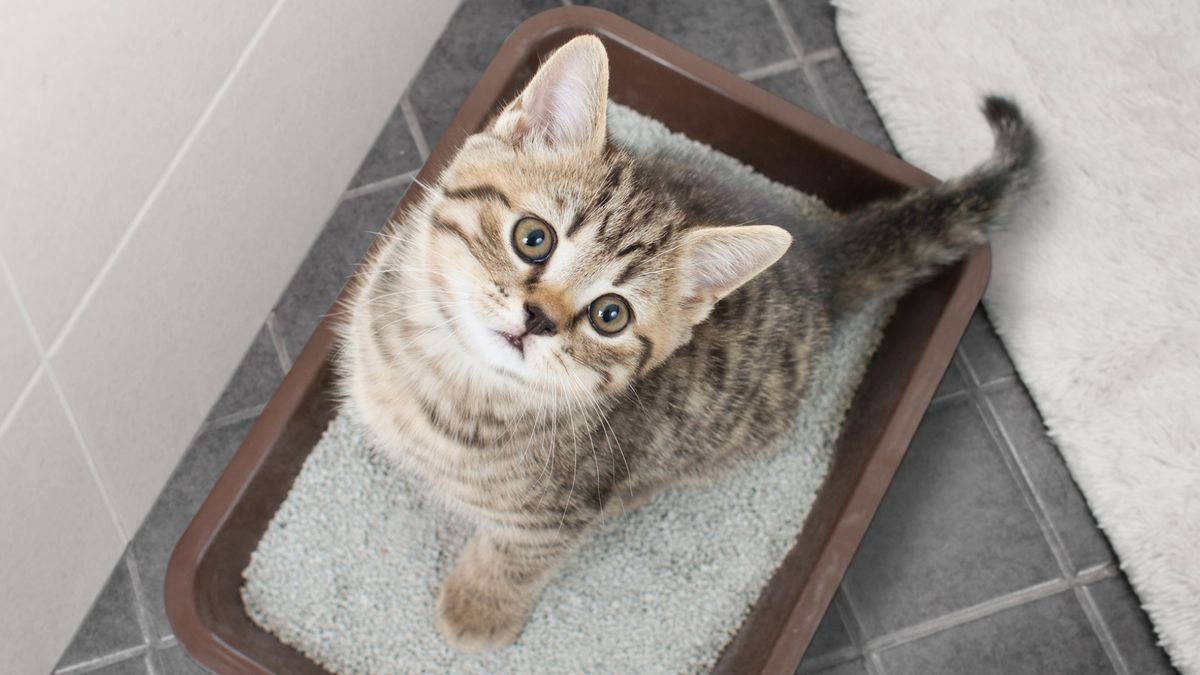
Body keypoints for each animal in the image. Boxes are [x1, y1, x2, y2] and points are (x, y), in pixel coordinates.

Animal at [338, 34, 1032, 648]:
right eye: (533, 237)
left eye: (610, 315)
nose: (539, 319)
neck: (445, 374)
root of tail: (818, 257)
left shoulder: (560, 510)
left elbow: (517, 556)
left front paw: (480, 608)